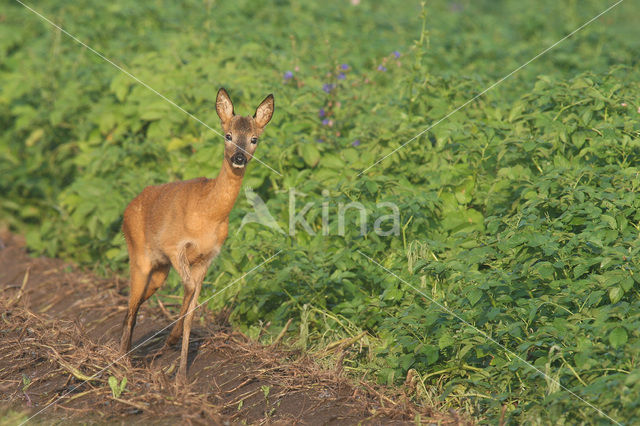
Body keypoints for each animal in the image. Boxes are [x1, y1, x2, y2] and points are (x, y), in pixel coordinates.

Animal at [119, 87, 274, 382]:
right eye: (228, 135)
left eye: (254, 139)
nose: (238, 158)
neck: (207, 213)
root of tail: (128, 208)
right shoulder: (174, 246)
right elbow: (189, 289)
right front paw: (171, 351)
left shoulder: (207, 258)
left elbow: (193, 309)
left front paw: (180, 374)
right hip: (139, 255)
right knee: (131, 303)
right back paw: (122, 359)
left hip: (159, 270)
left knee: (138, 301)